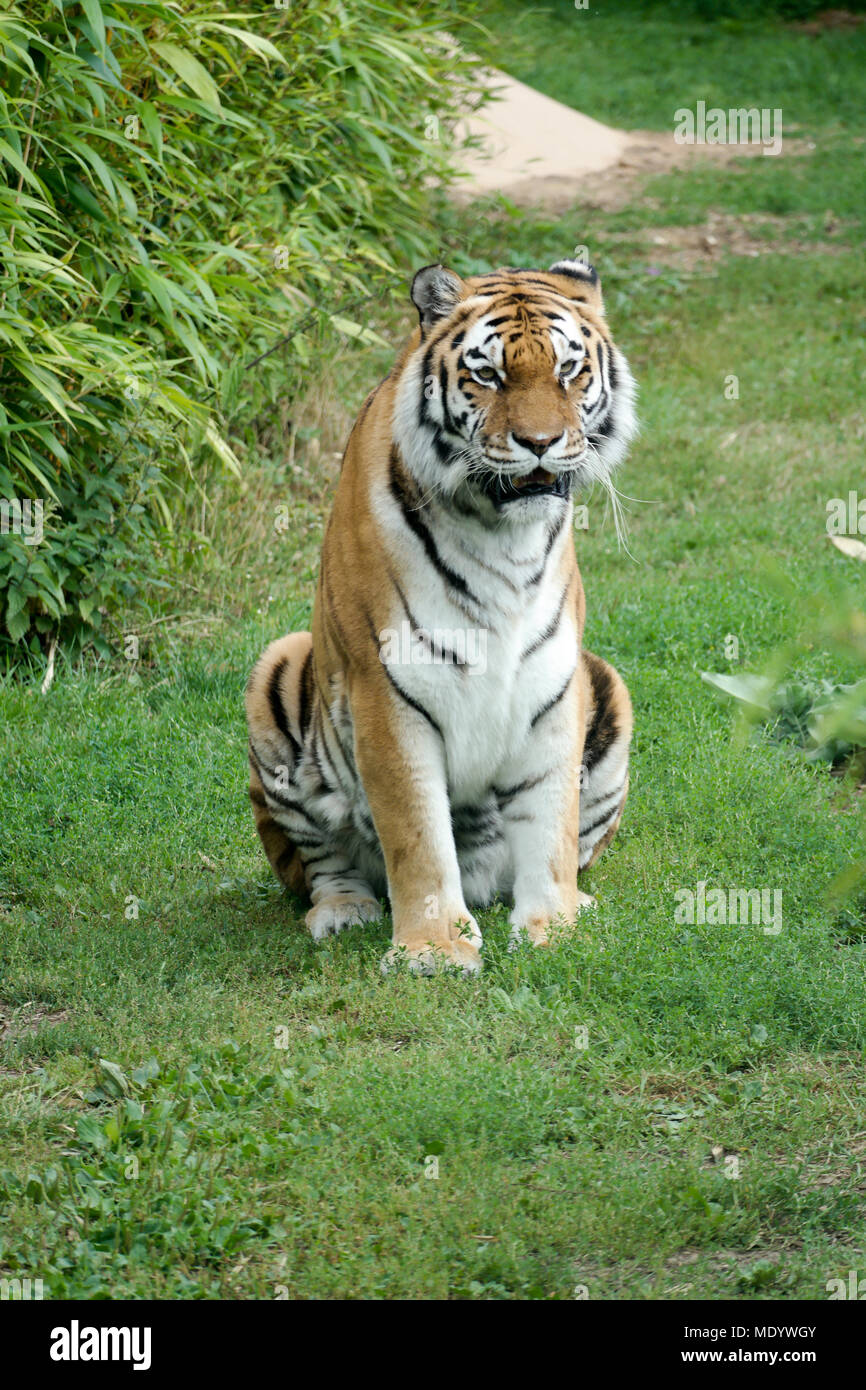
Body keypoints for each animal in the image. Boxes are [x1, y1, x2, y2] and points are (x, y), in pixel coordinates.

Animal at [245, 258, 637, 975]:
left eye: (569, 370)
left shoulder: (553, 679)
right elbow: (417, 835)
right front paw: (432, 950)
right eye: (489, 376)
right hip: (277, 668)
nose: (540, 443)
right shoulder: (388, 690)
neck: (502, 535)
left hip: (607, 683)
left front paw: (556, 925)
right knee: (322, 867)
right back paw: (344, 912)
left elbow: (551, 818)